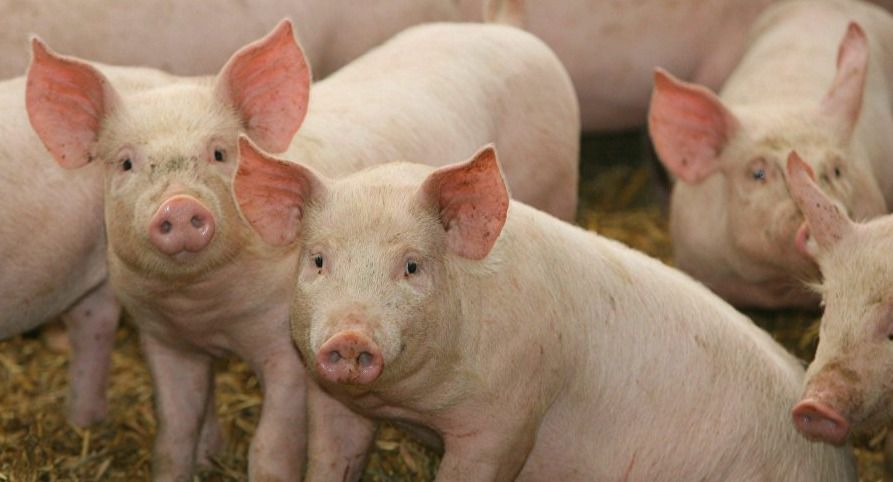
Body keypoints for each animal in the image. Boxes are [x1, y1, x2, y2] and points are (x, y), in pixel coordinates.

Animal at [25, 17, 578, 481]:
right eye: (124, 163)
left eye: (219, 153)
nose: (180, 206)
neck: (205, 308)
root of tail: (504, 28)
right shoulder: (163, 339)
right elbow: (173, 437)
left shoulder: (288, 349)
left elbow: (270, 448)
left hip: (558, 185)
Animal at [234, 139, 857, 482]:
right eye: (318, 259)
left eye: (412, 266)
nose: (350, 338)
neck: (411, 406)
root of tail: (837, 463)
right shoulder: (333, 399)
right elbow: (331, 458)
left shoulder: (509, 417)